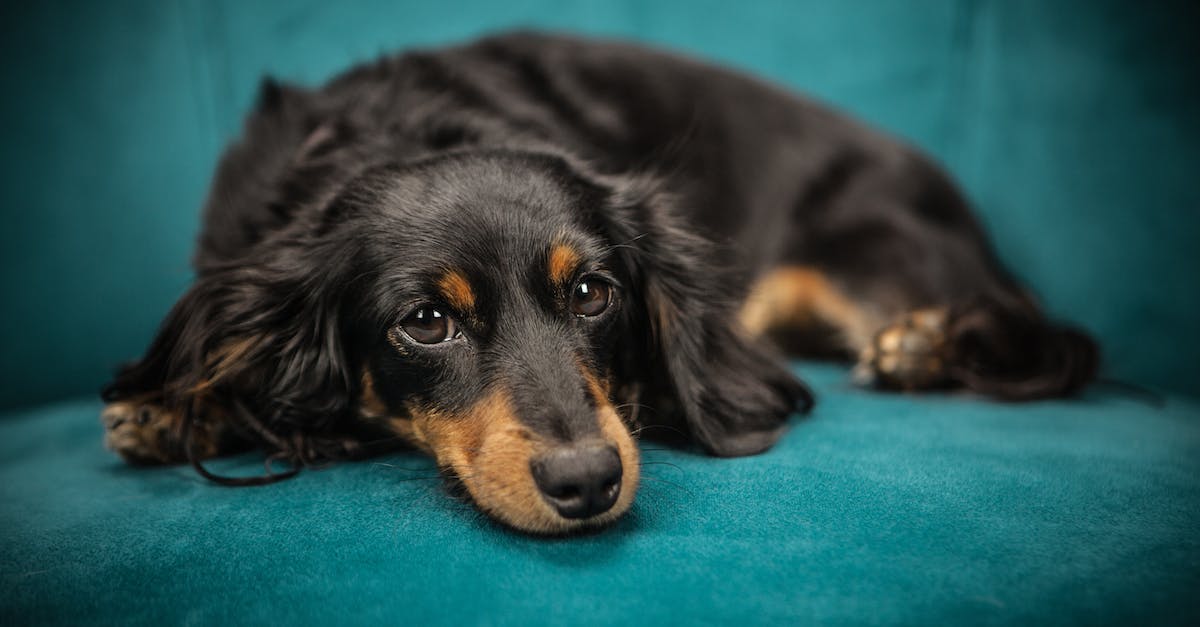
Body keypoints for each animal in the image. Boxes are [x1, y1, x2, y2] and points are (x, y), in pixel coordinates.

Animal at [103, 31, 1099, 530]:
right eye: (425, 320)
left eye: (592, 293)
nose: (587, 481)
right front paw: (172, 405)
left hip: (869, 251)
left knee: (1051, 341)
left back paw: (925, 343)